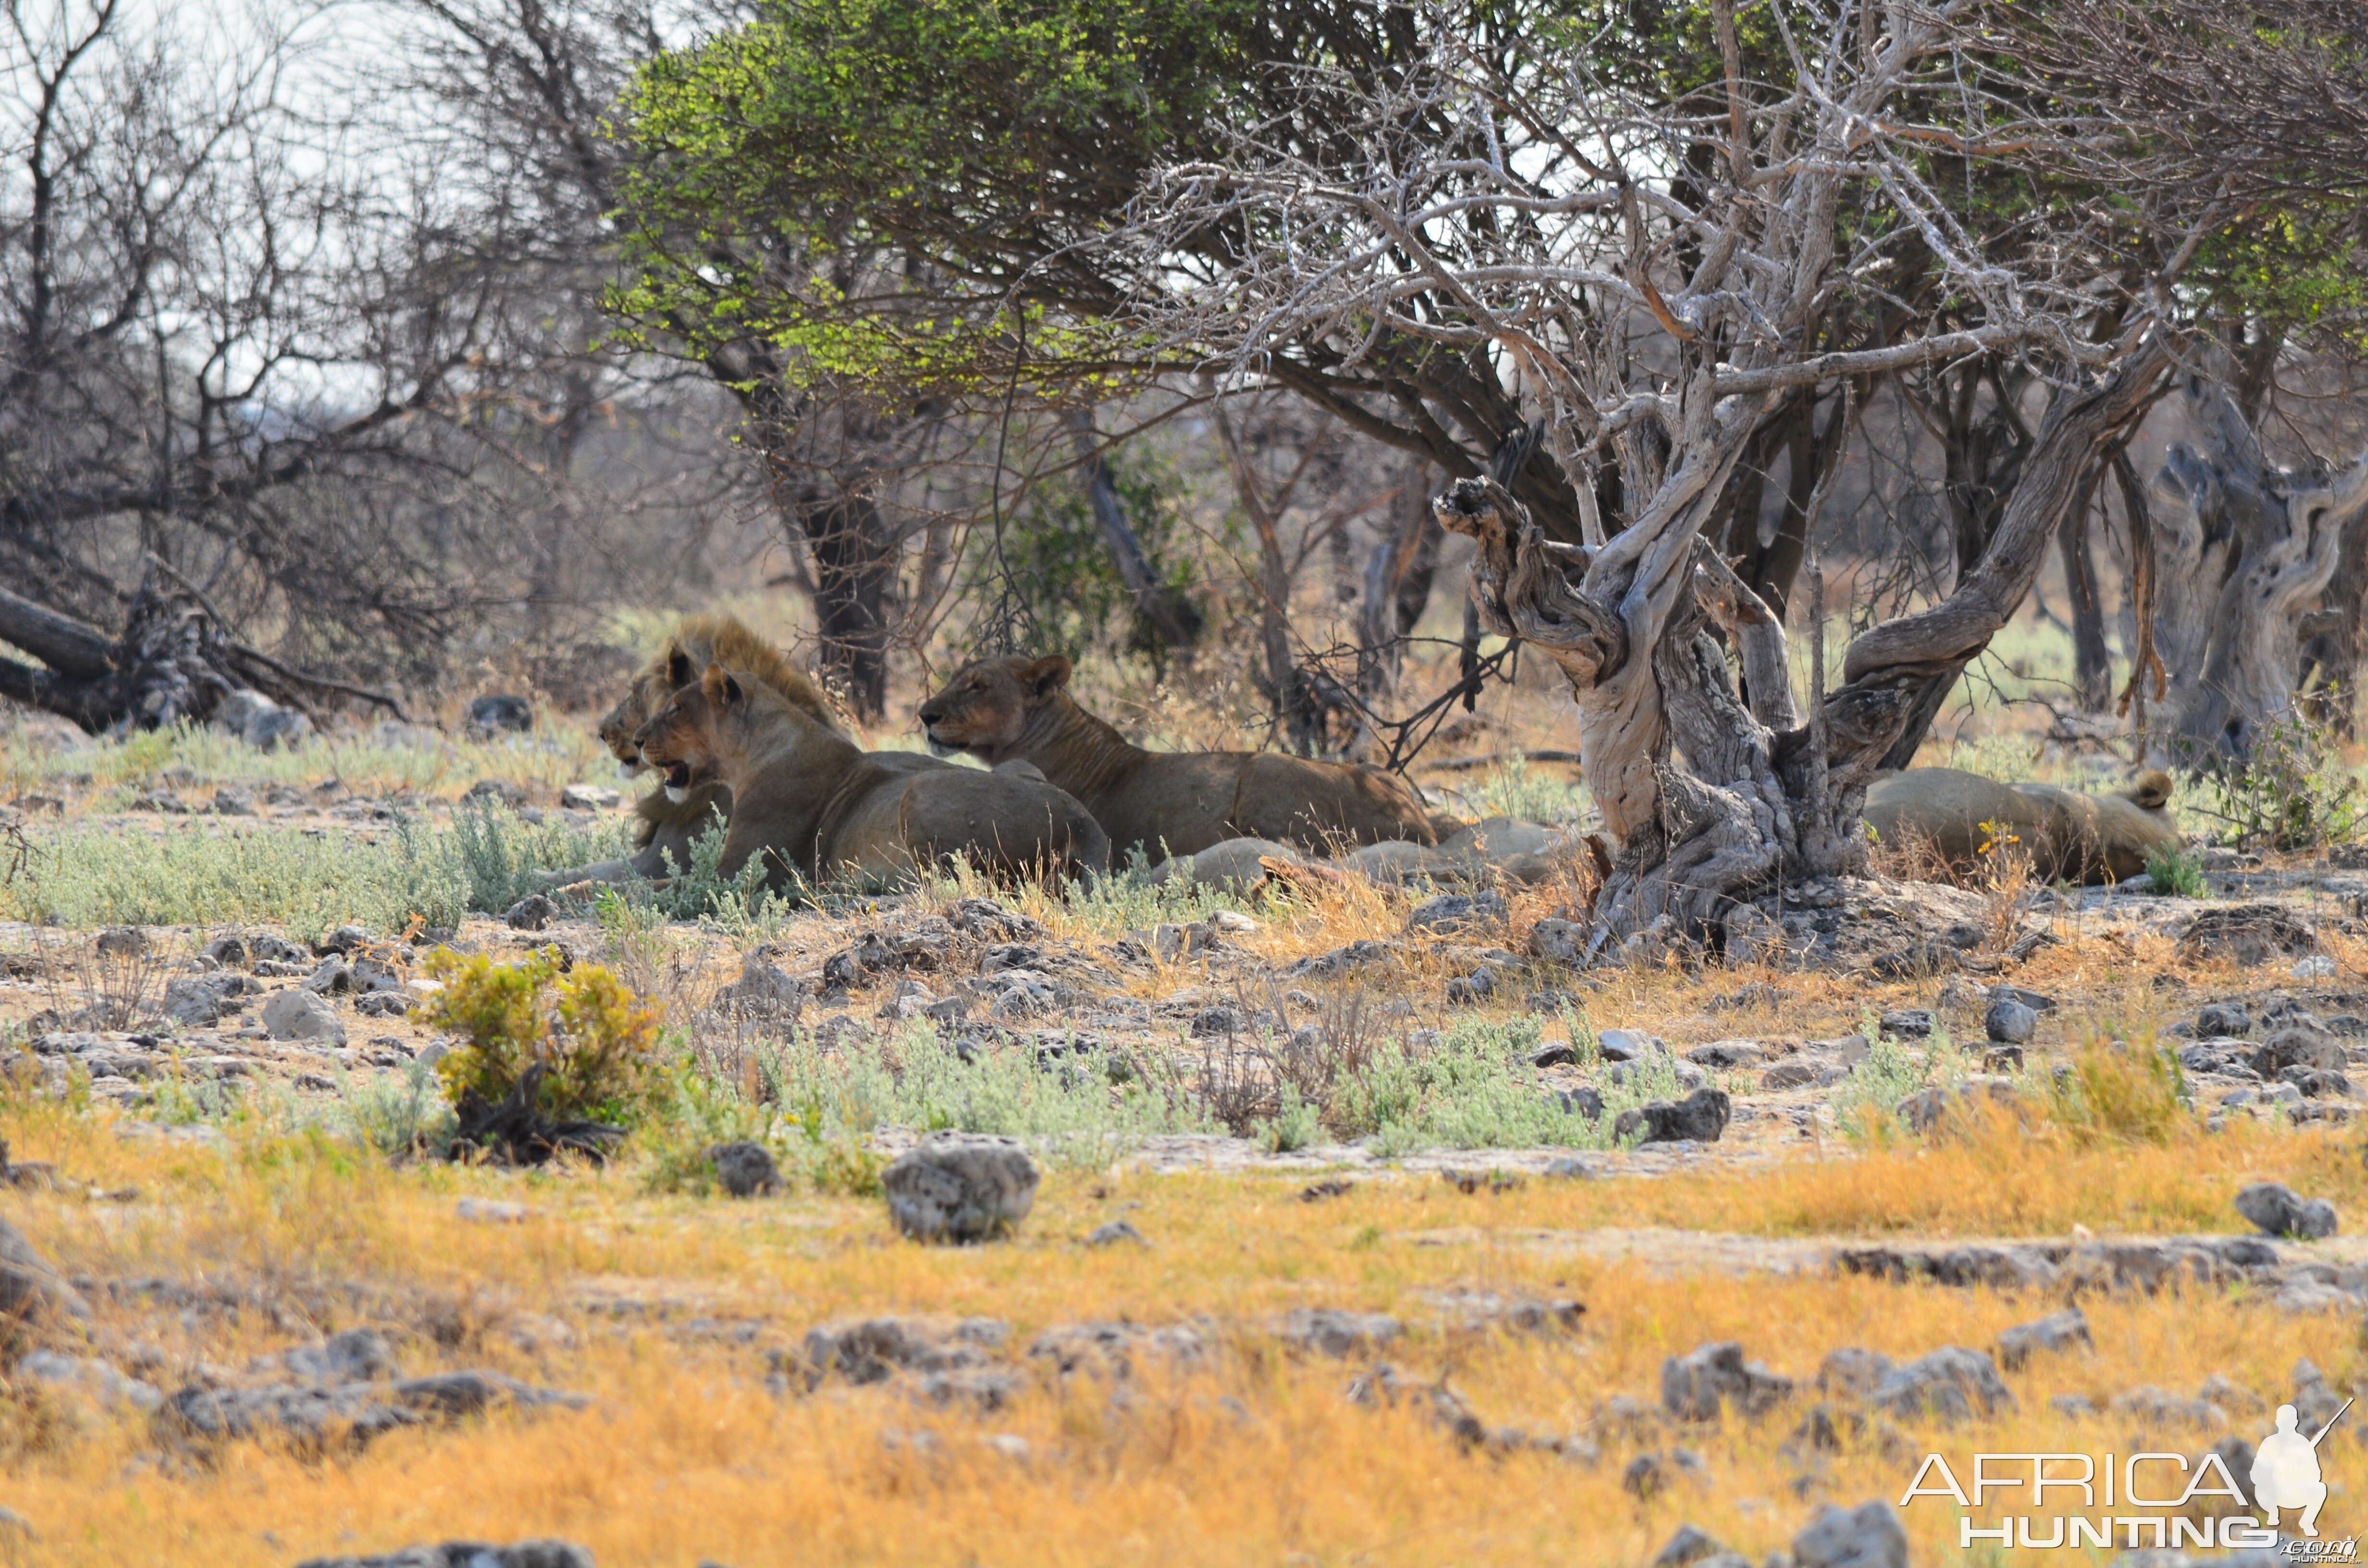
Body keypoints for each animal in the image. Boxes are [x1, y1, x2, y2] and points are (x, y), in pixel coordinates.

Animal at [629, 663, 1108, 895]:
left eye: (676, 709)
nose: (636, 739)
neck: (751, 755)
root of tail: (1084, 822)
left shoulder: (740, 873)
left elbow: (650, 884)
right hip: (1022, 767)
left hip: (921, 788)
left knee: (945, 882)